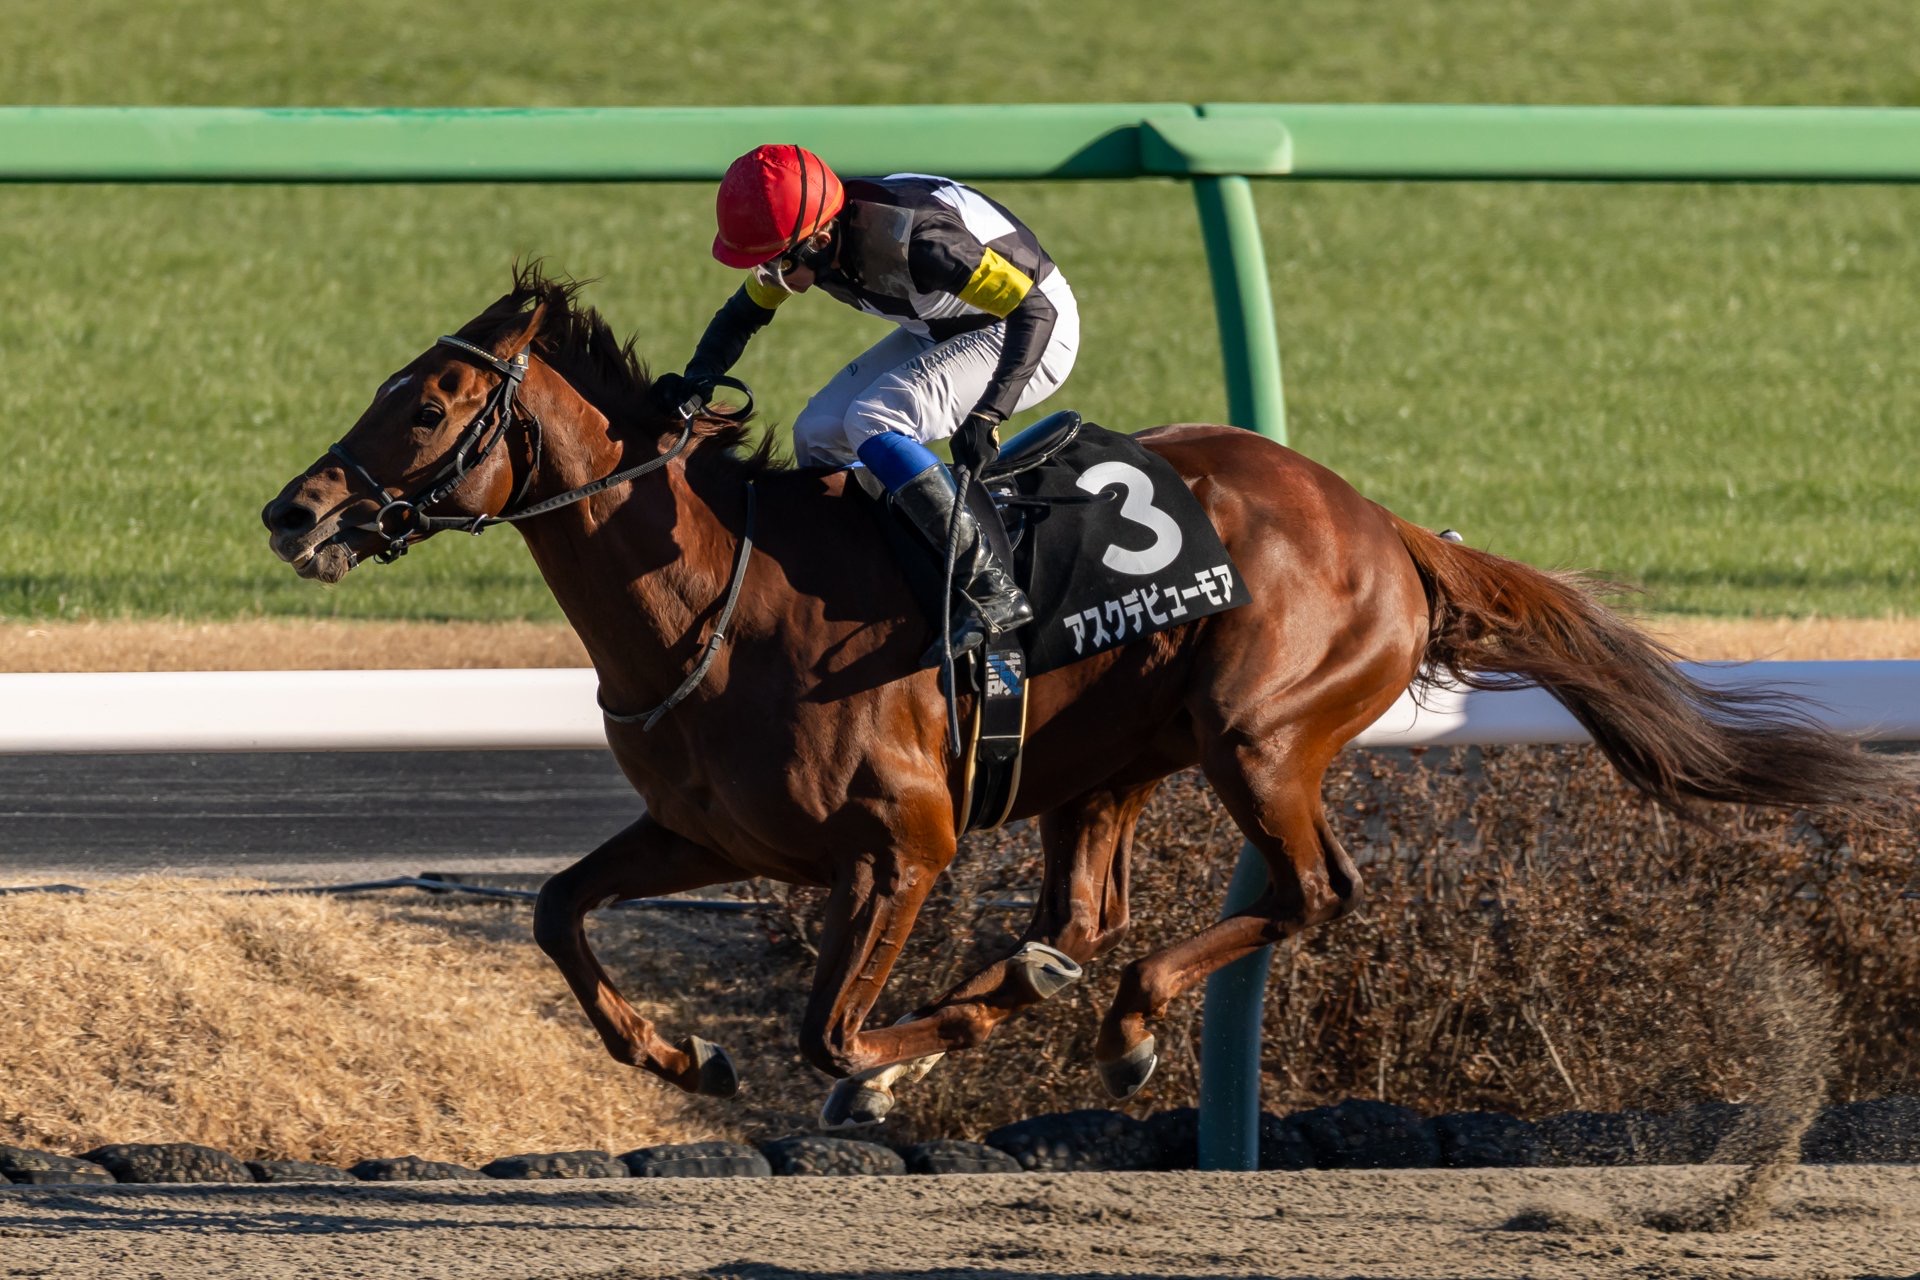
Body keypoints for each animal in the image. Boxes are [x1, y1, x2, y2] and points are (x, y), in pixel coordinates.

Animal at [262, 266, 1910, 1125]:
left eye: (429, 402)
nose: (295, 510)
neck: (718, 597)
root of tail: (1386, 524)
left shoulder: (904, 844)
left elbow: (833, 1033)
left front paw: (890, 1068)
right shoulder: (714, 832)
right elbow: (557, 911)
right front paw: (680, 1050)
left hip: (1259, 729)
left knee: (1313, 892)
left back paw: (1117, 1021)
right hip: (1114, 754)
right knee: (1093, 906)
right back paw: (1061, 986)